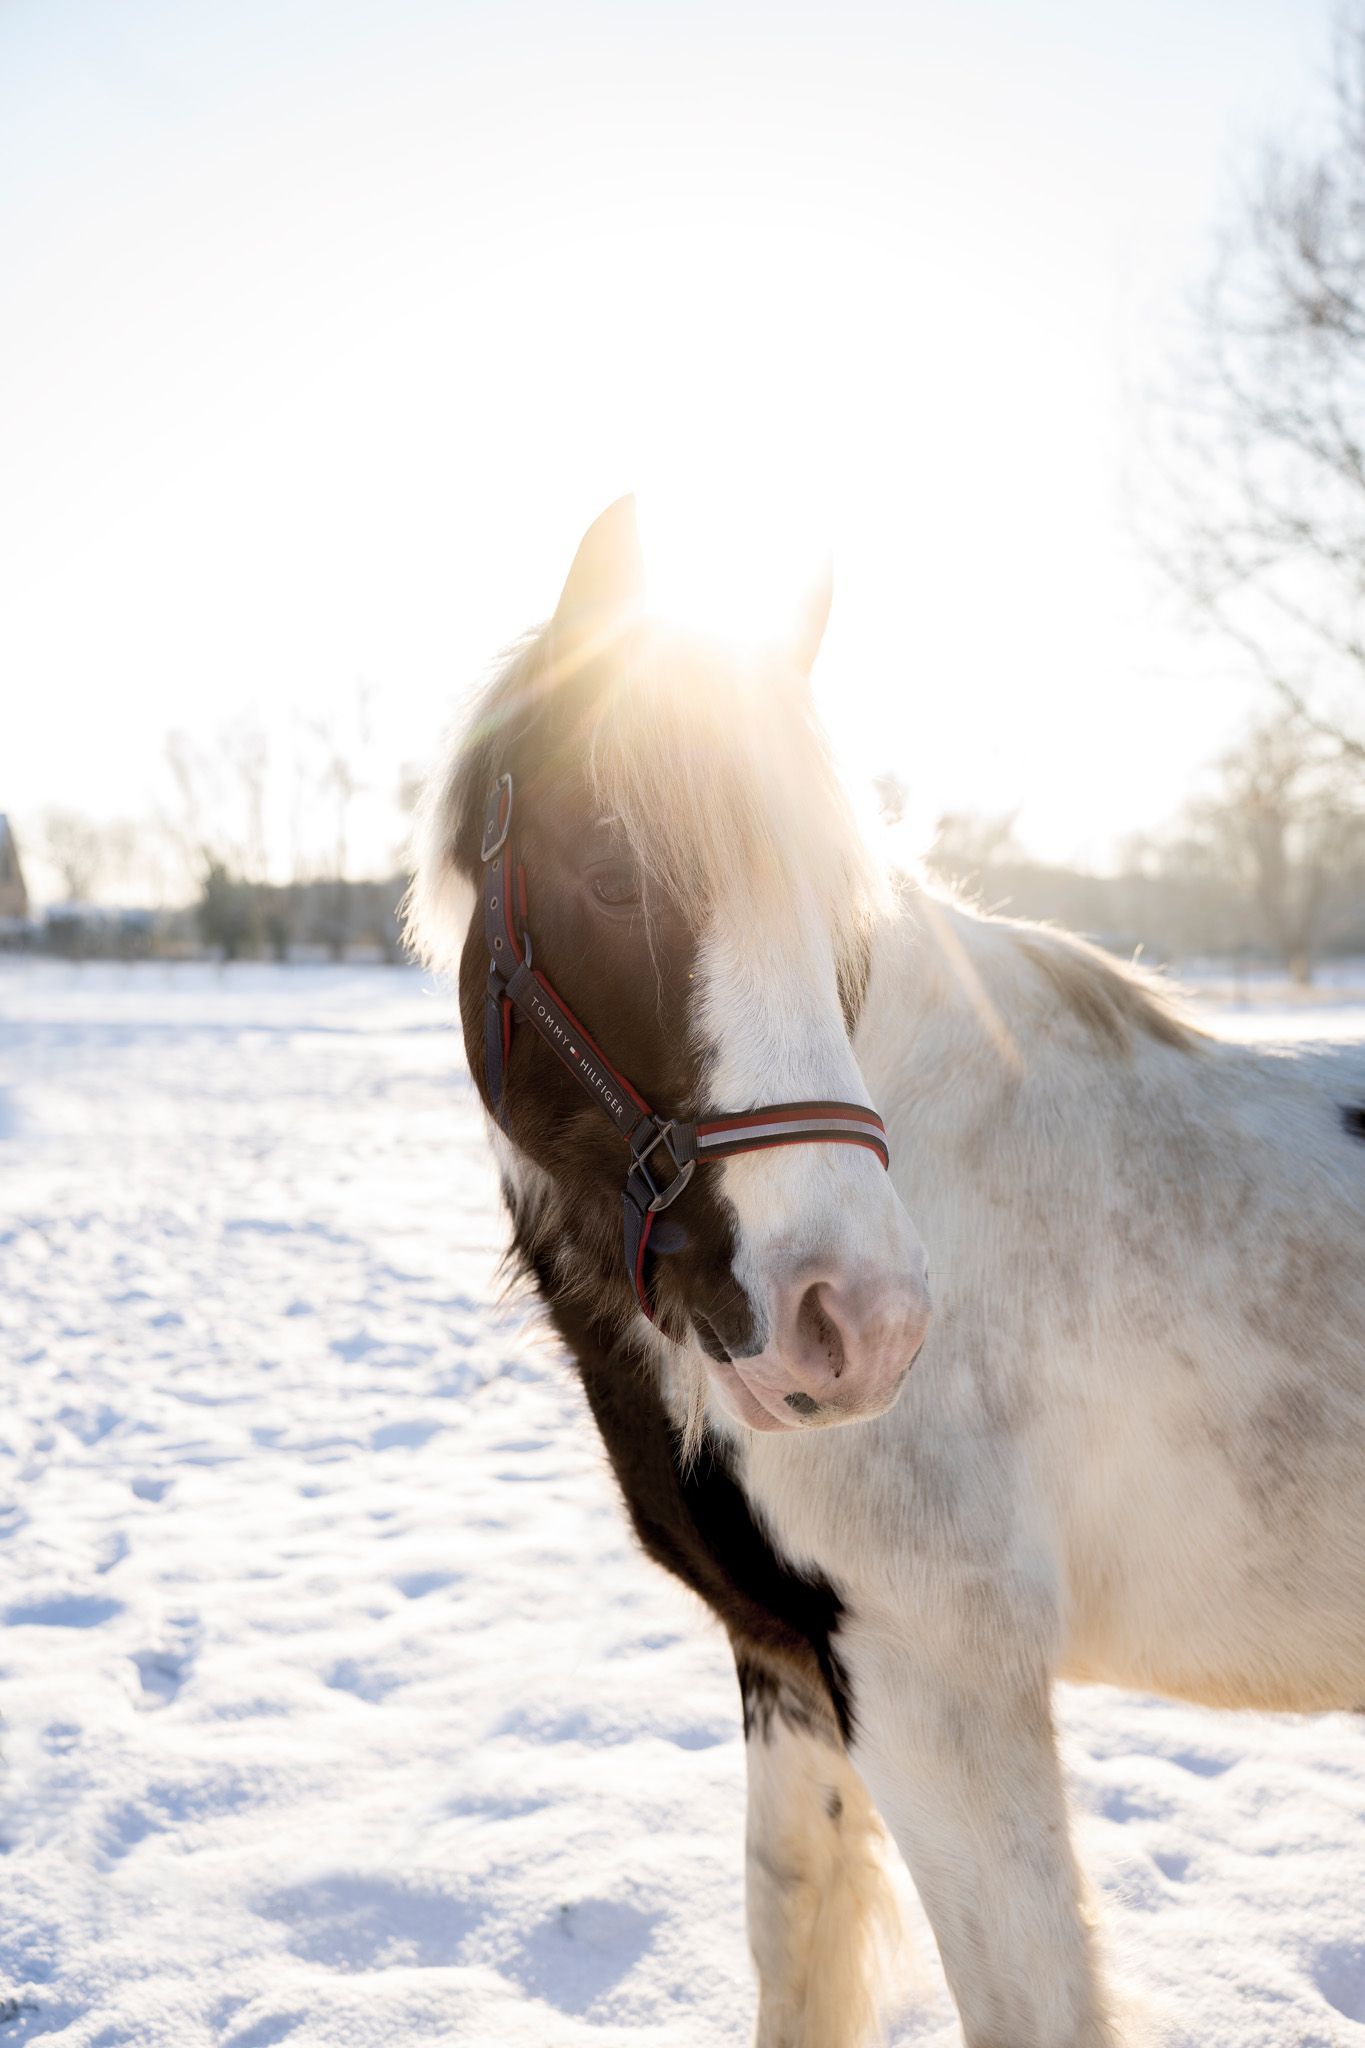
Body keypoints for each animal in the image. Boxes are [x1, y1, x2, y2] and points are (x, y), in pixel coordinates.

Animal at [407, 496, 1365, 2047]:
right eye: (612, 874)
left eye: (840, 911)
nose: (857, 1322)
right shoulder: (793, 1662)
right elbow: (790, 1937)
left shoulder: (939, 1683)